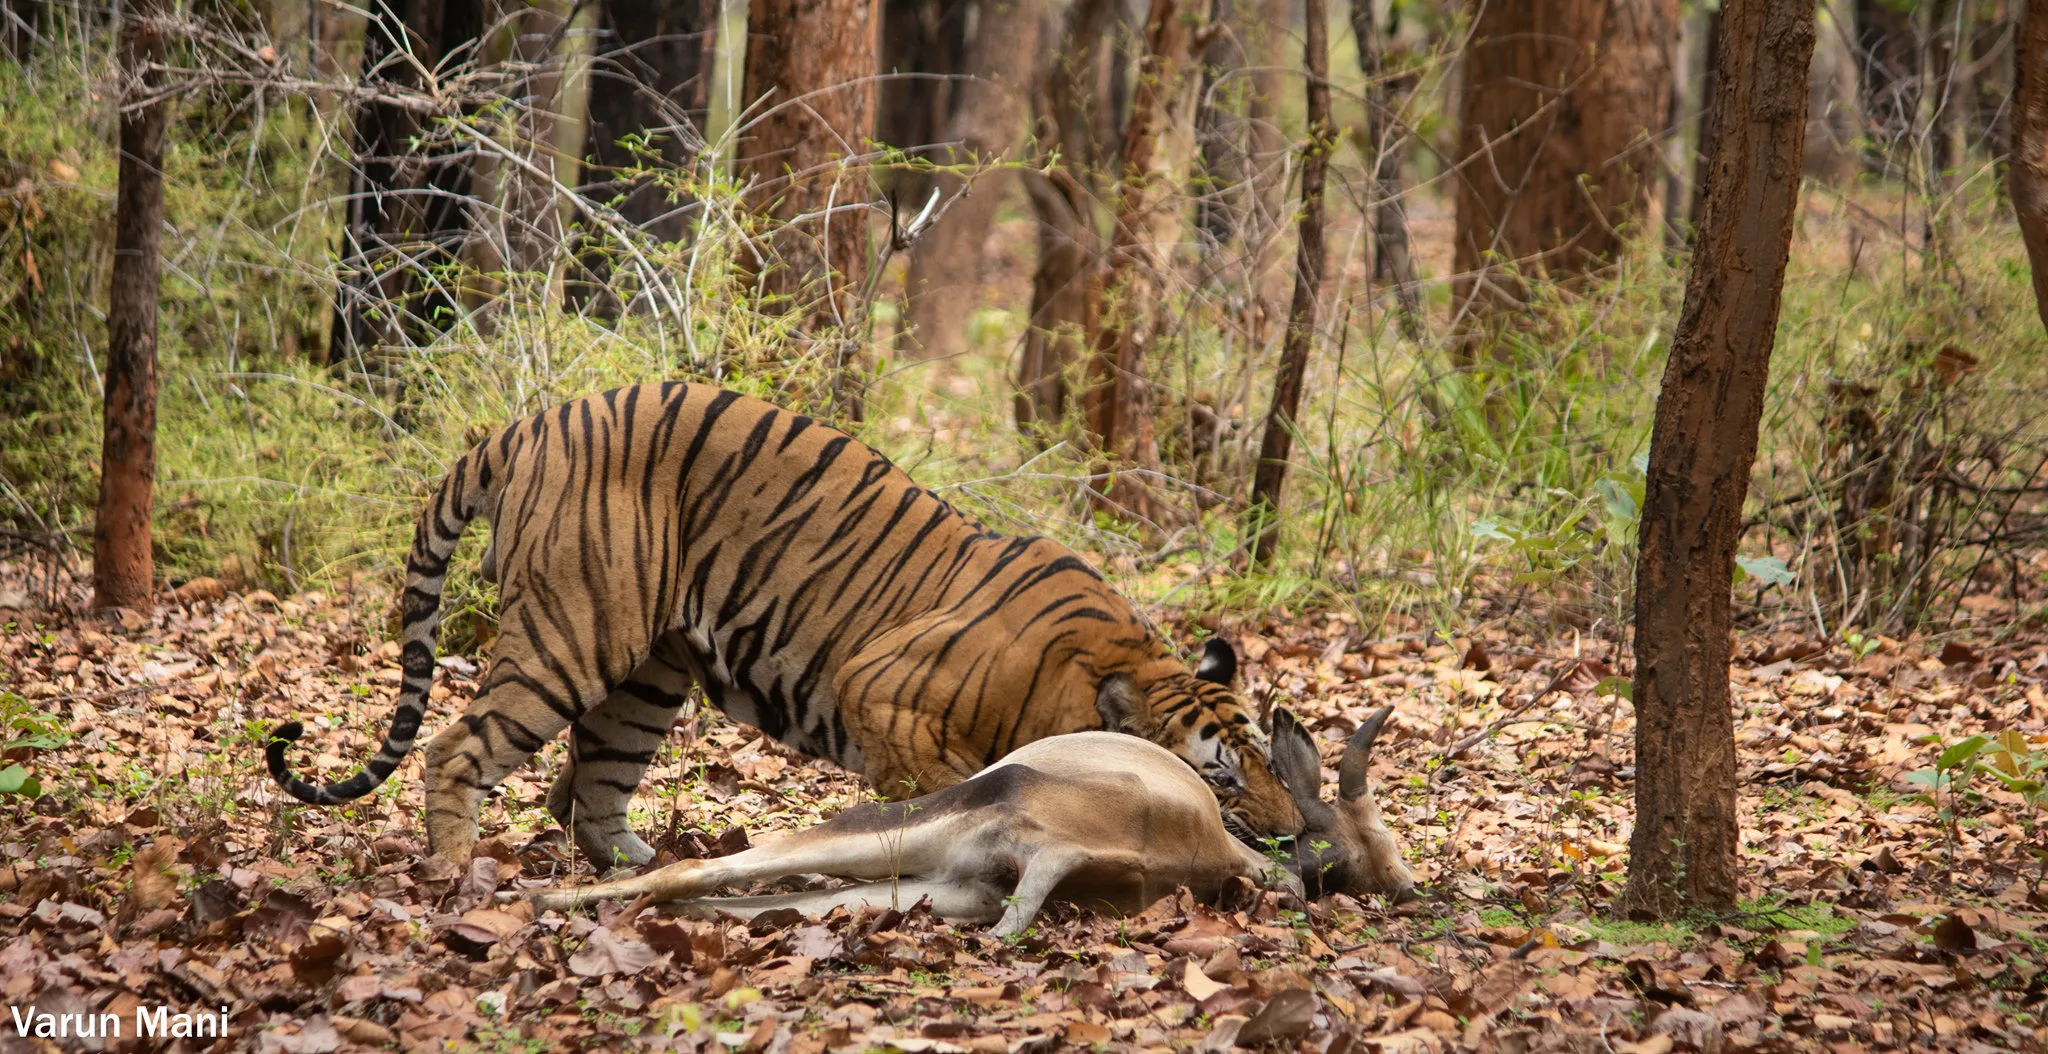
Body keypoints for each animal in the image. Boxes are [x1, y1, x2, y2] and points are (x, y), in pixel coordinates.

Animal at [264, 384, 1302, 867]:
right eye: (1219, 776)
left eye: (1268, 762)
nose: (1297, 835)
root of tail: (526, 425)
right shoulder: (881, 688)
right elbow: (950, 787)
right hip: (574, 633)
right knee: (457, 749)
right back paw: (456, 873)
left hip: (648, 674)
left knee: (592, 787)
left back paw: (632, 866)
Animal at [520, 704, 1417, 937]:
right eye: (1360, 844)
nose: (1410, 891)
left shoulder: (1000, 878)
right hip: (898, 824)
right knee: (694, 868)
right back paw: (541, 904)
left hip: (927, 882)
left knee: (725, 896)